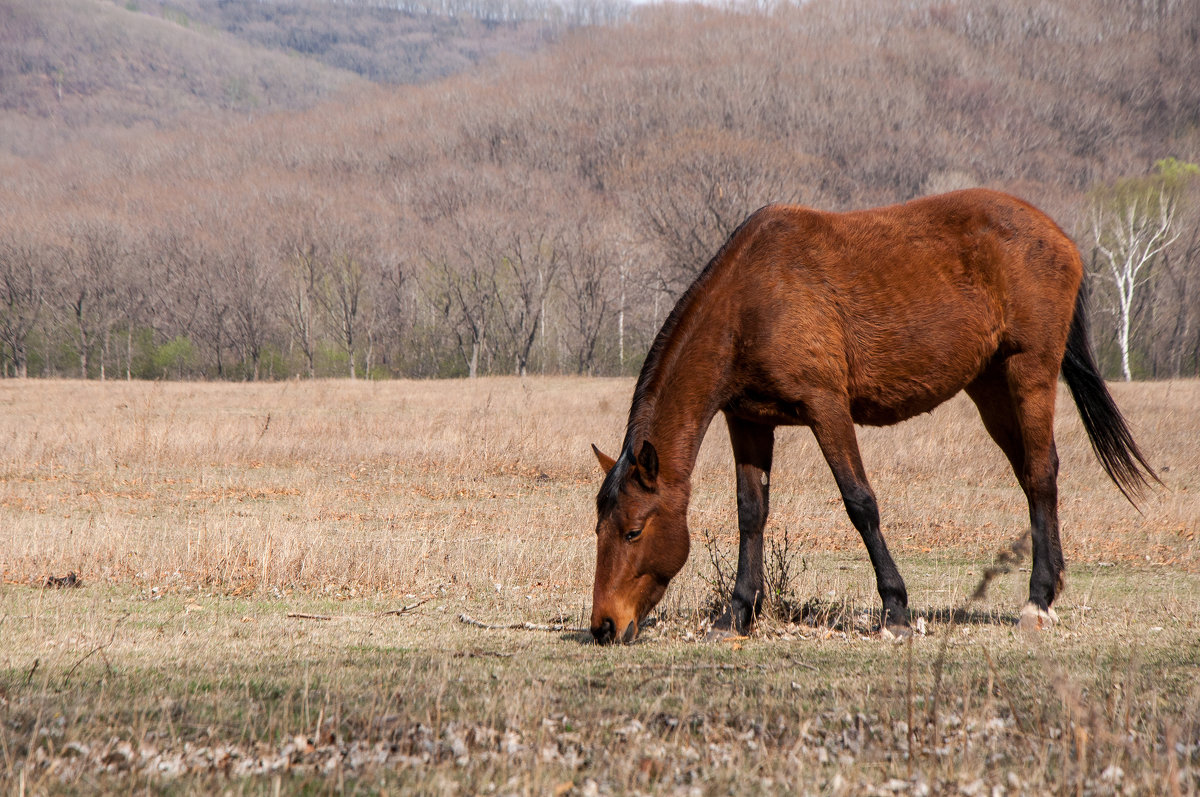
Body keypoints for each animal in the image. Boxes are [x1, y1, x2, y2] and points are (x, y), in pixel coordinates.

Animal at [585, 189, 1156, 643]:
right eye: (599, 530)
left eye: (634, 531)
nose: (605, 626)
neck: (749, 302)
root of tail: (1059, 236)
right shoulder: (748, 422)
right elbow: (751, 514)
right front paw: (737, 615)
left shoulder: (826, 409)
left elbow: (860, 503)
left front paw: (895, 610)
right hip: (991, 387)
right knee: (1032, 475)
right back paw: (1051, 586)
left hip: (1028, 371)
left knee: (1040, 473)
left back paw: (1037, 599)